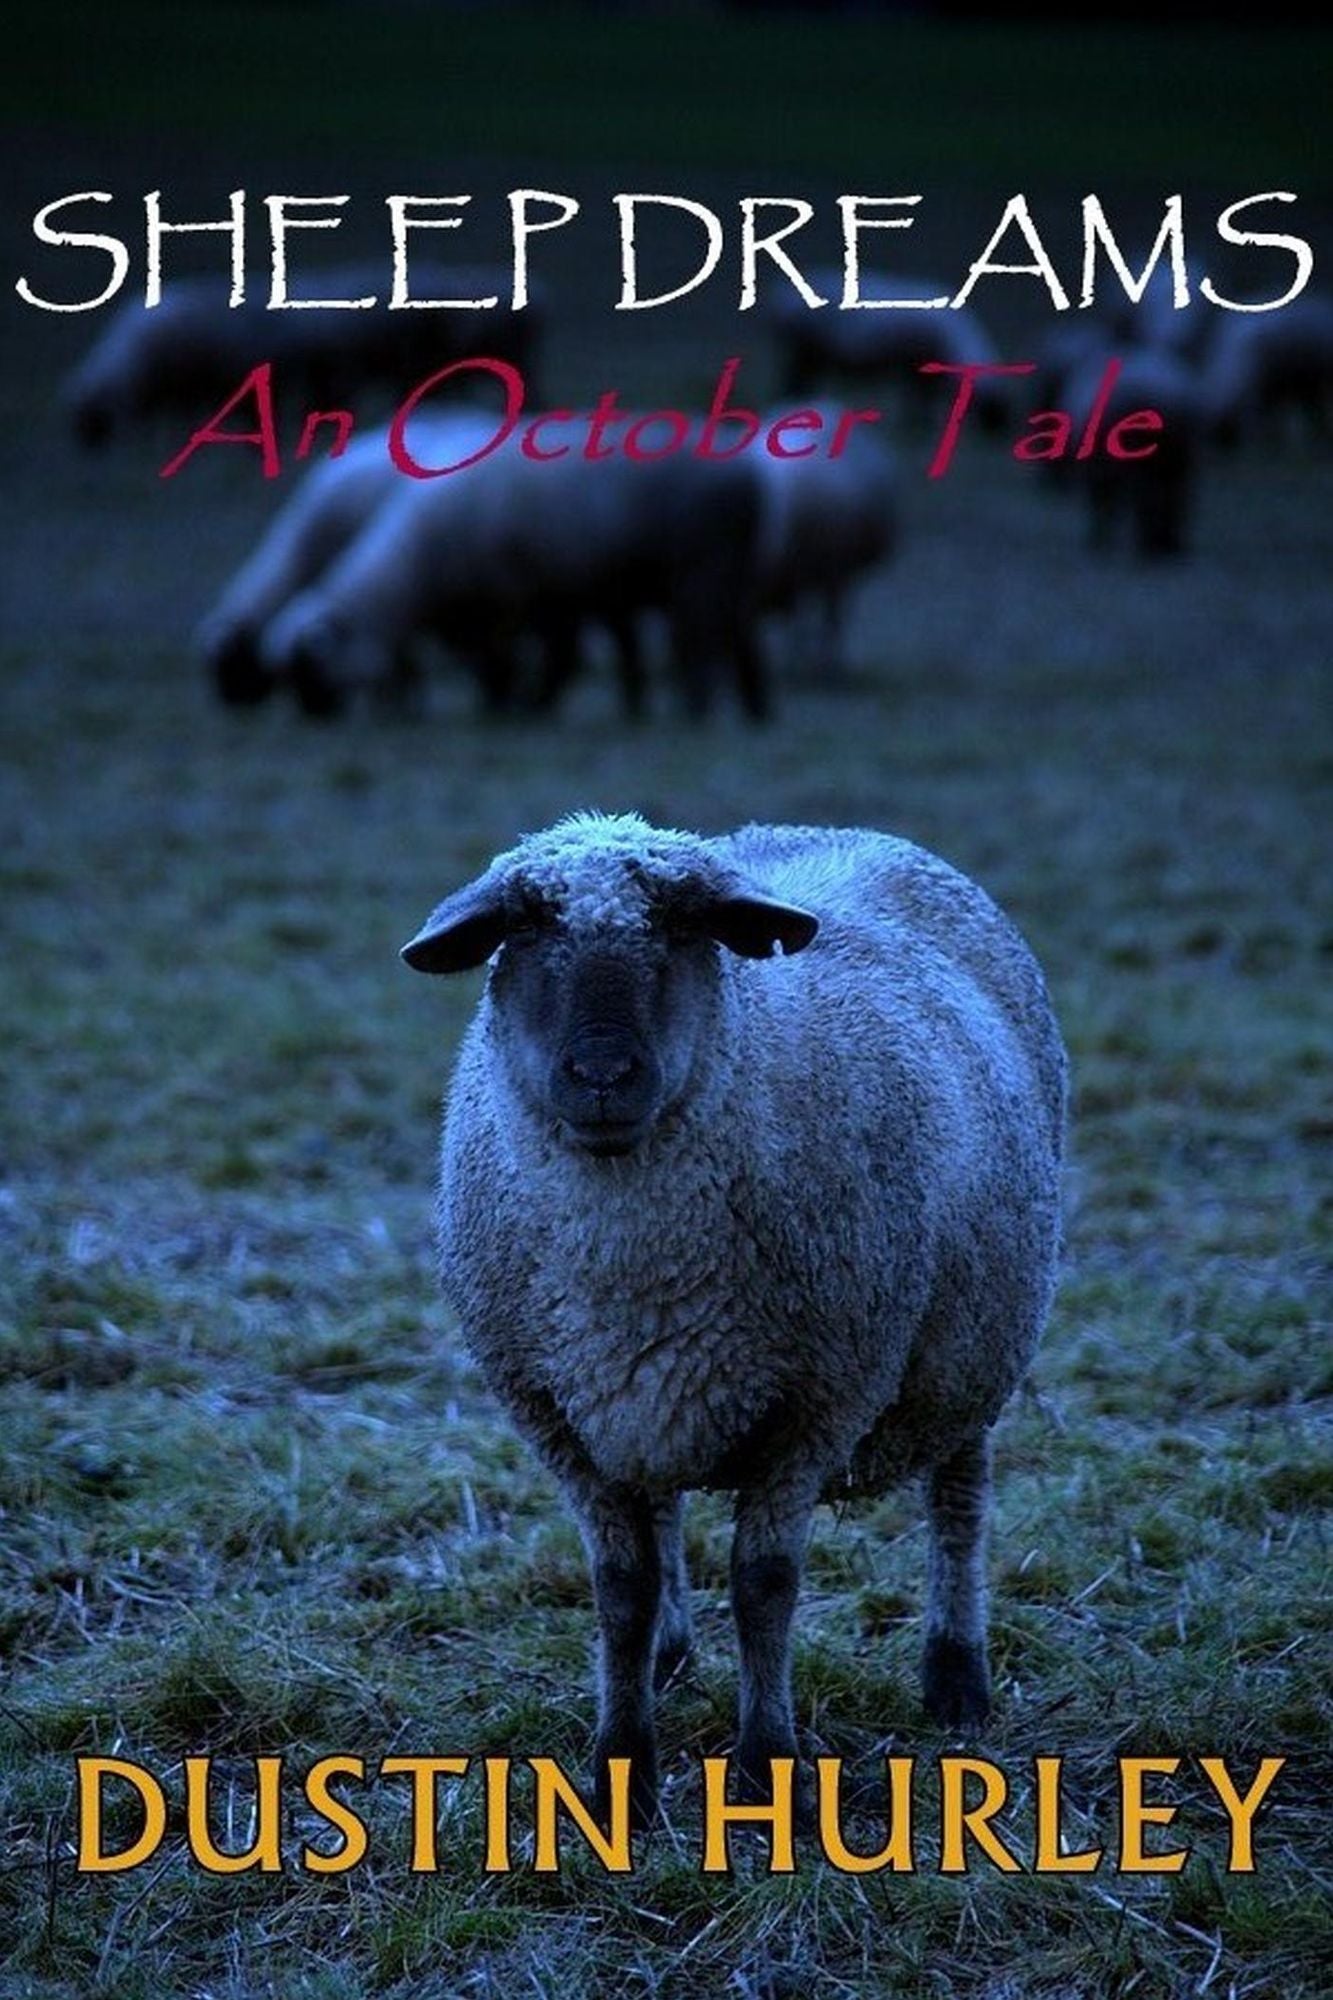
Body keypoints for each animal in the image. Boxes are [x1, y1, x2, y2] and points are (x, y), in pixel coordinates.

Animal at [260, 444, 767, 722]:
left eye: (309, 667)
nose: (313, 716)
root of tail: (745, 475)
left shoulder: (516, 596)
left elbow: (511, 657)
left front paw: (512, 700)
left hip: (702, 564)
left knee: (699, 636)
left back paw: (698, 706)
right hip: (731, 568)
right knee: (740, 634)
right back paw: (754, 705)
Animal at [402, 811, 1067, 1824]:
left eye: (682, 933)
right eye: (523, 935)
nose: (602, 1074)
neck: (630, 1261)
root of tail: (833, 827)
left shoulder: (820, 1398)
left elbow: (764, 1587)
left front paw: (766, 1767)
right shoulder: (562, 1413)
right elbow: (621, 1589)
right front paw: (620, 1770)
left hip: (972, 1349)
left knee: (959, 1503)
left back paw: (956, 1677)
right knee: (664, 1514)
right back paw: (669, 1657)